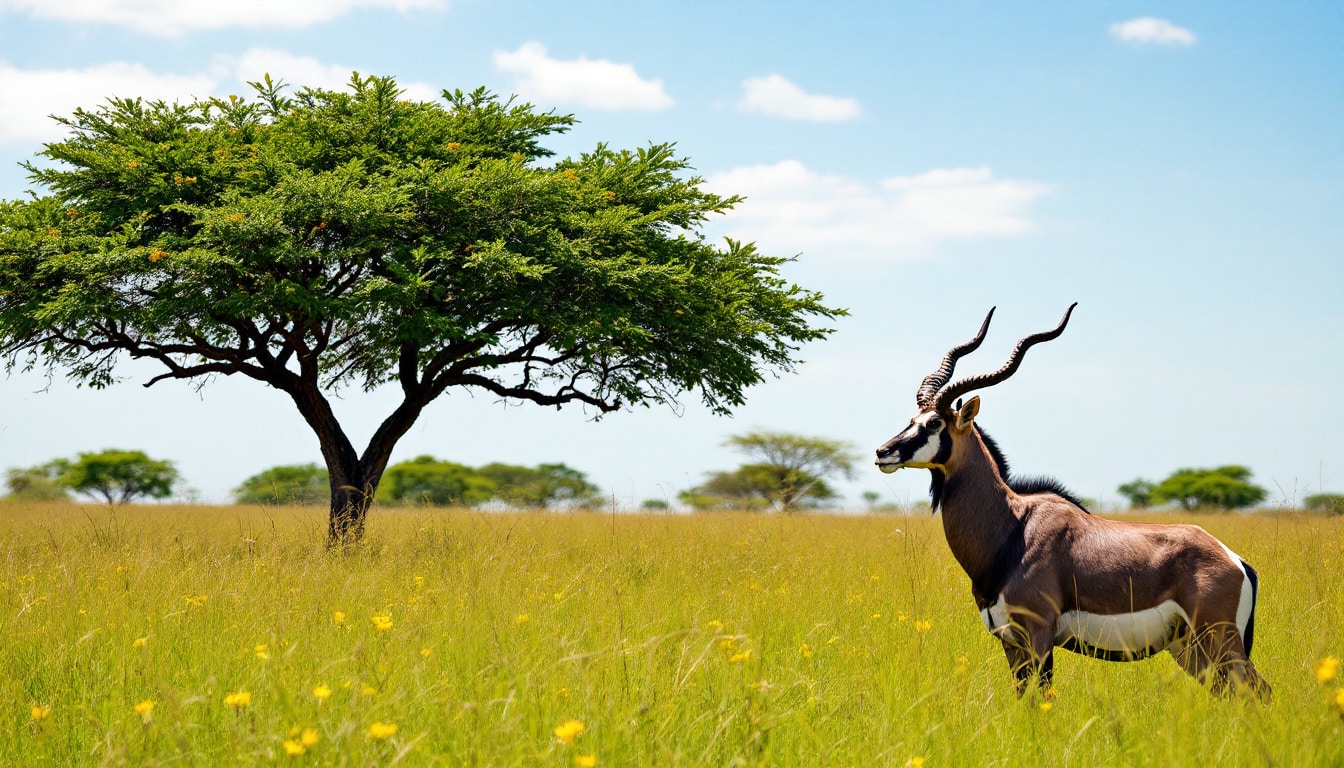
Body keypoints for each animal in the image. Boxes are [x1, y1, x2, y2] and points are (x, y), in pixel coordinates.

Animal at [870, 305, 1268, 699]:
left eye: (934, 423)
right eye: (912, 419)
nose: (882, 452)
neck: (1015, 528)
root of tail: (1237, 562)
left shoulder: (1038, 634)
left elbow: (1040, 699)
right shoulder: (1010, 641)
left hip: (1219, 642)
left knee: (1257, 691)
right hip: (1191, 649)